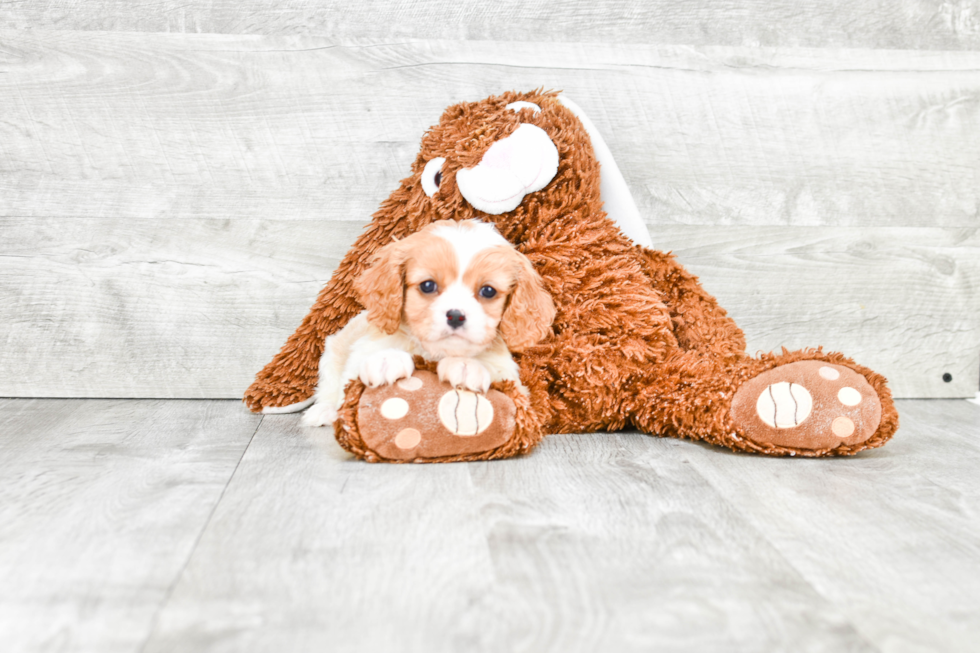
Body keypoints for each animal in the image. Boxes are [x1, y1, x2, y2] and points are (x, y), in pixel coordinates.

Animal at [302, 219, 556, 428]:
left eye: (488, 291)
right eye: (427, 286)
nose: (456, 315)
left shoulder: (514, 383)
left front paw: (466, 366)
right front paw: (387, 360)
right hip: (332, 353)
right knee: (328, 388)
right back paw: (323, 411)